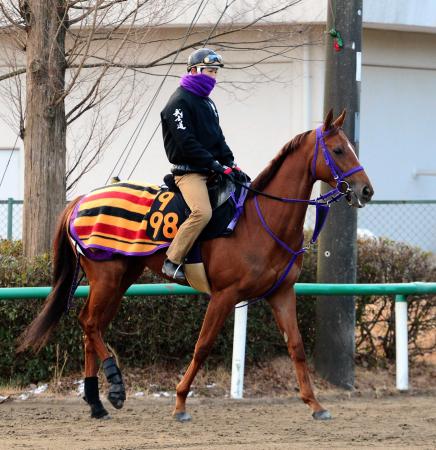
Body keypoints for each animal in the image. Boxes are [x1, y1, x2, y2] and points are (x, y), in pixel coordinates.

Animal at [17, 110, 374, 422]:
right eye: (339, 149)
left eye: (353, 147)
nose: (366, 190)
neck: (260, 221)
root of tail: (80, 200)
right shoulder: (224, 295)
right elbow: (202, 346)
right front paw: (179, 403)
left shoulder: (282, 293)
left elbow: (296, 347)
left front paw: (315, 404)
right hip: (108, 276)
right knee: (91, 324)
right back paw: (115, 387)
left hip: (120, 278)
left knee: (90, 325)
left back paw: (97, 402)